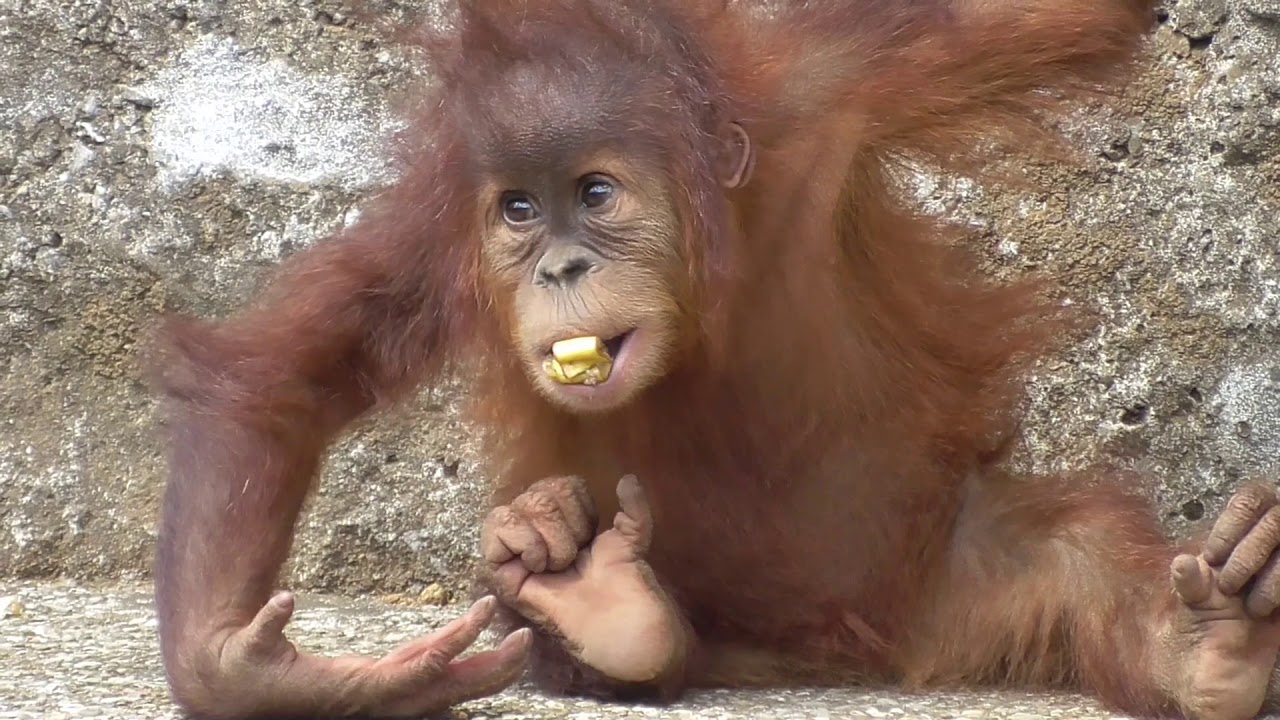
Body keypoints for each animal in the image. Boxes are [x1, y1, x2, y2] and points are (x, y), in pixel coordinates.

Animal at [149, 1, 1280, 719]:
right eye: (517, 209)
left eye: (594, 193)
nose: (558, 264)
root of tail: (848, 655)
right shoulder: (435, 240)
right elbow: (286, 373)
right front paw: (260, 673)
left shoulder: (837, 90)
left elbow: (1065, 19)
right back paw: (598, 602)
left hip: (953, 572)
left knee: (1082, 557)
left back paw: (1211, 644)